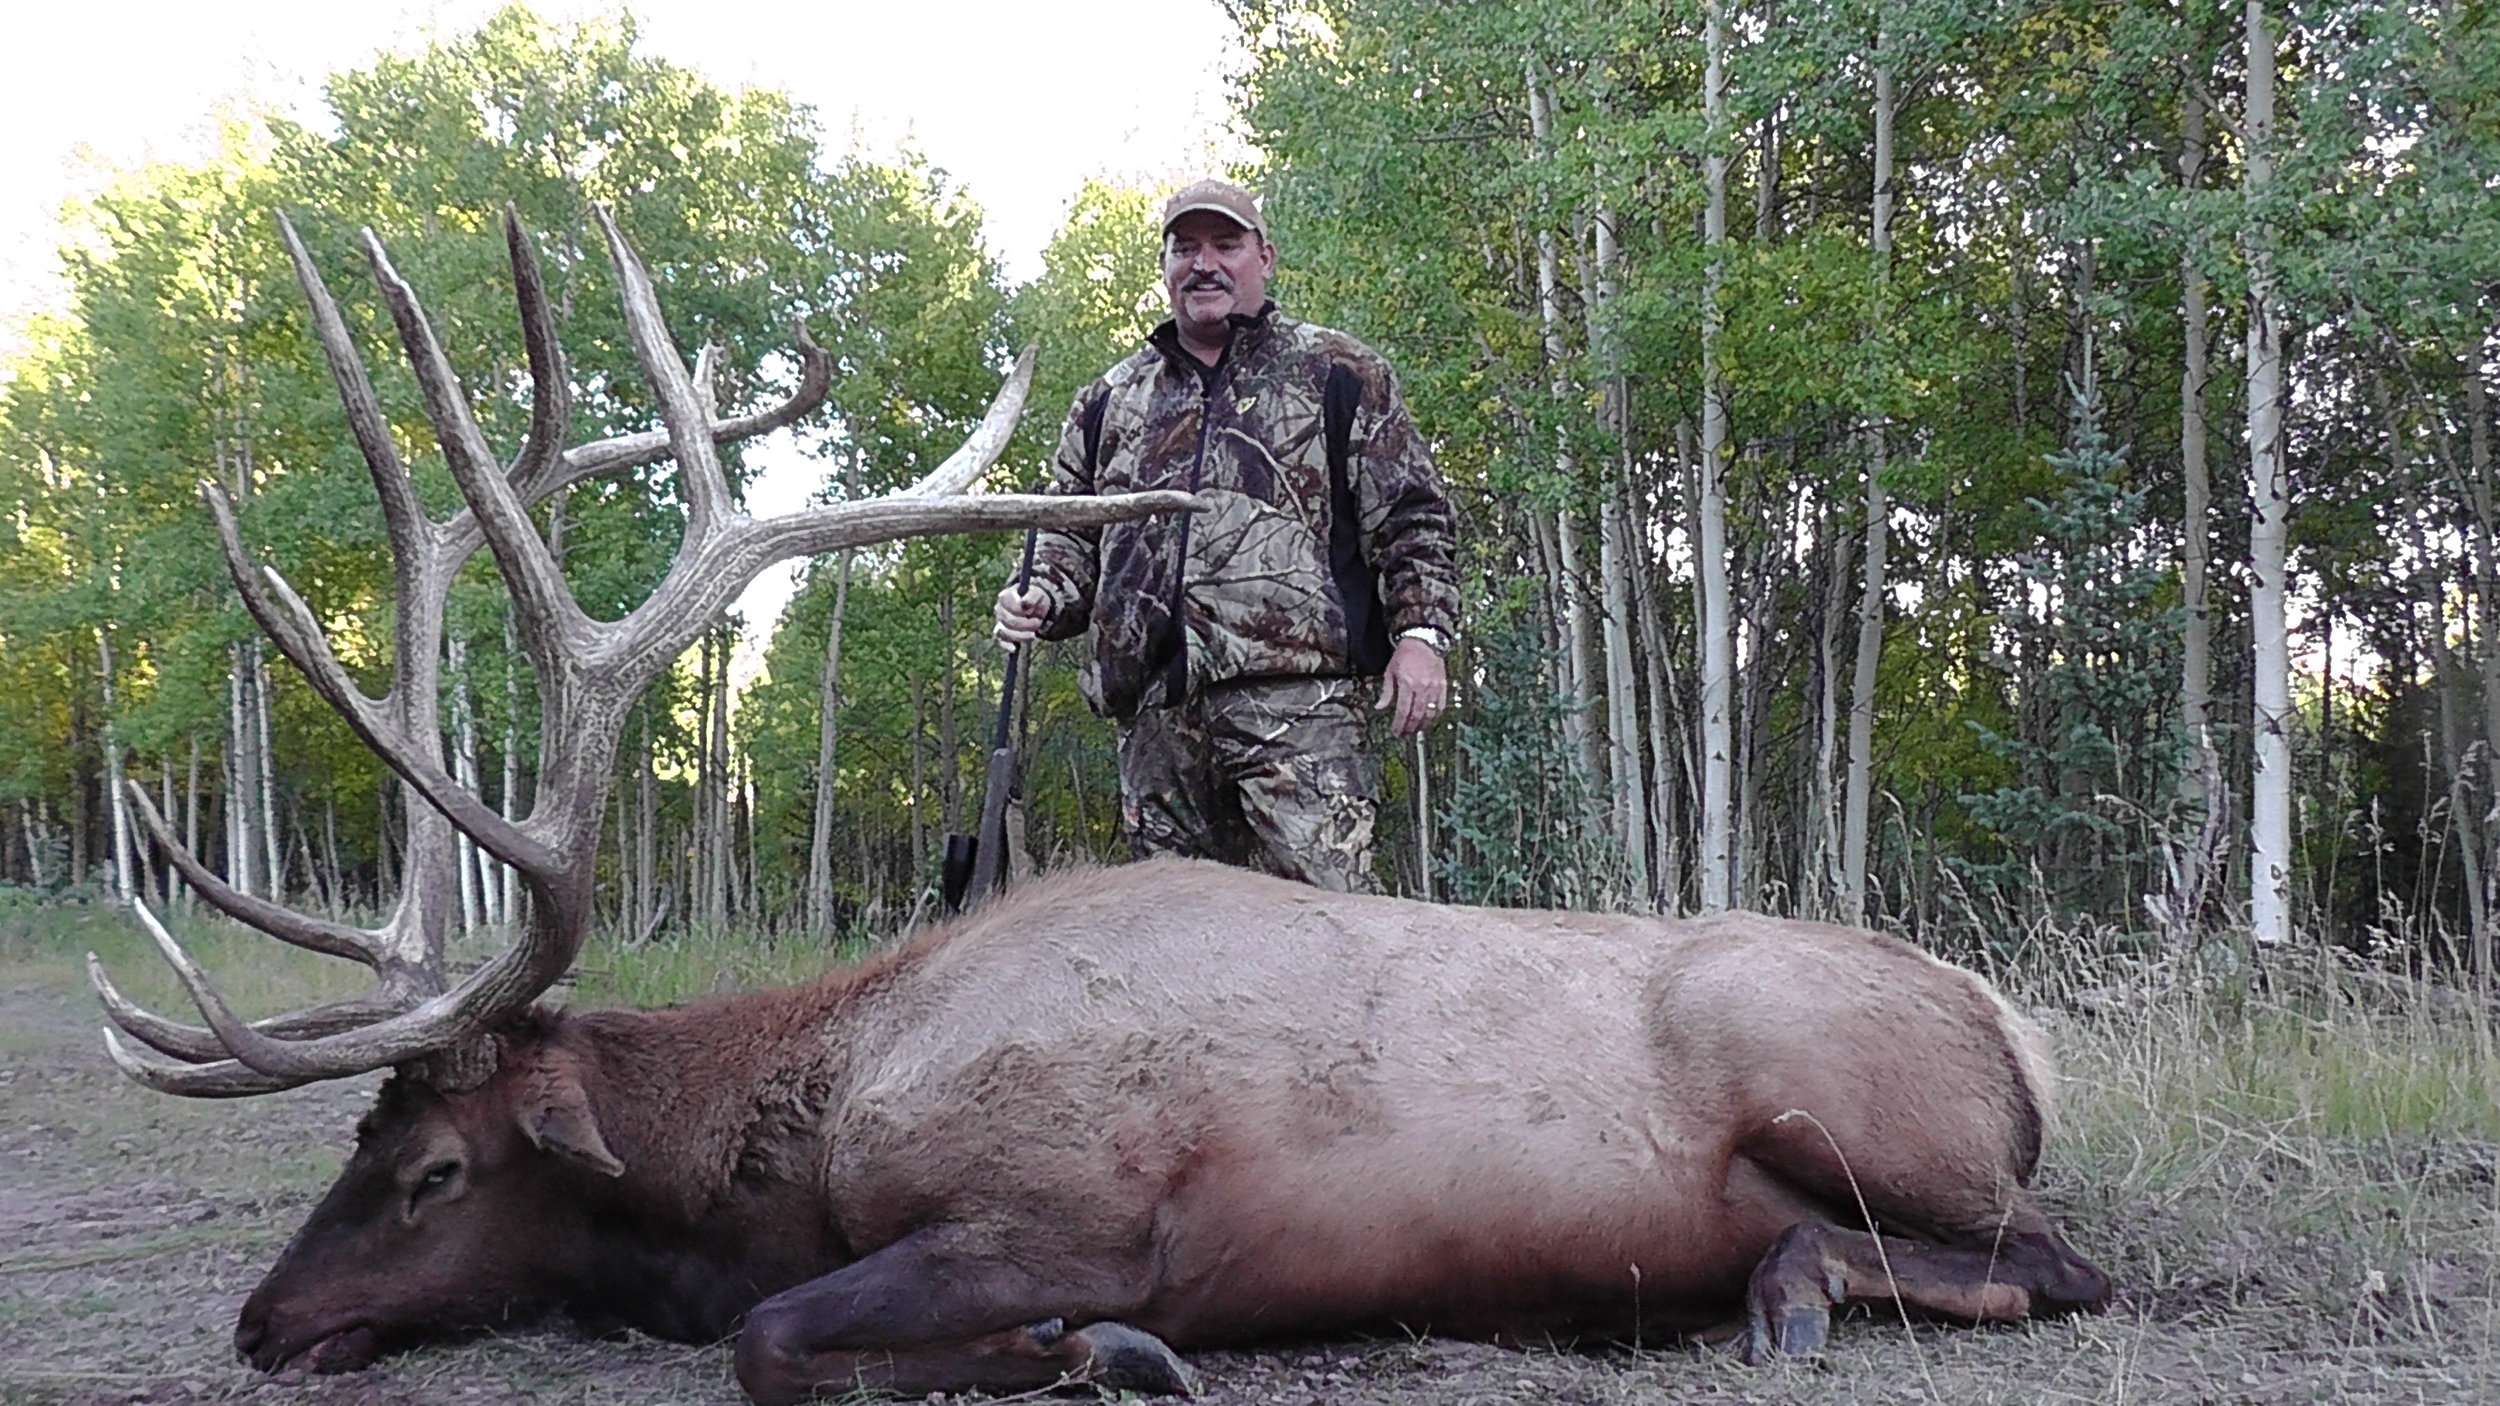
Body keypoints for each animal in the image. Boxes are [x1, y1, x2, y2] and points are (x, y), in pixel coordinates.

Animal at [92, 209, 2110, 1403]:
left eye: (432, 1168)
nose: (266, 1320)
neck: (792, 1145)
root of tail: (2020, 1034)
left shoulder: (1081, 1200)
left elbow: (774, 1339)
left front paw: (1093, 1350)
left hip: (1858, 1100)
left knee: (2060, 1256)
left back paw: (1786, 1291)